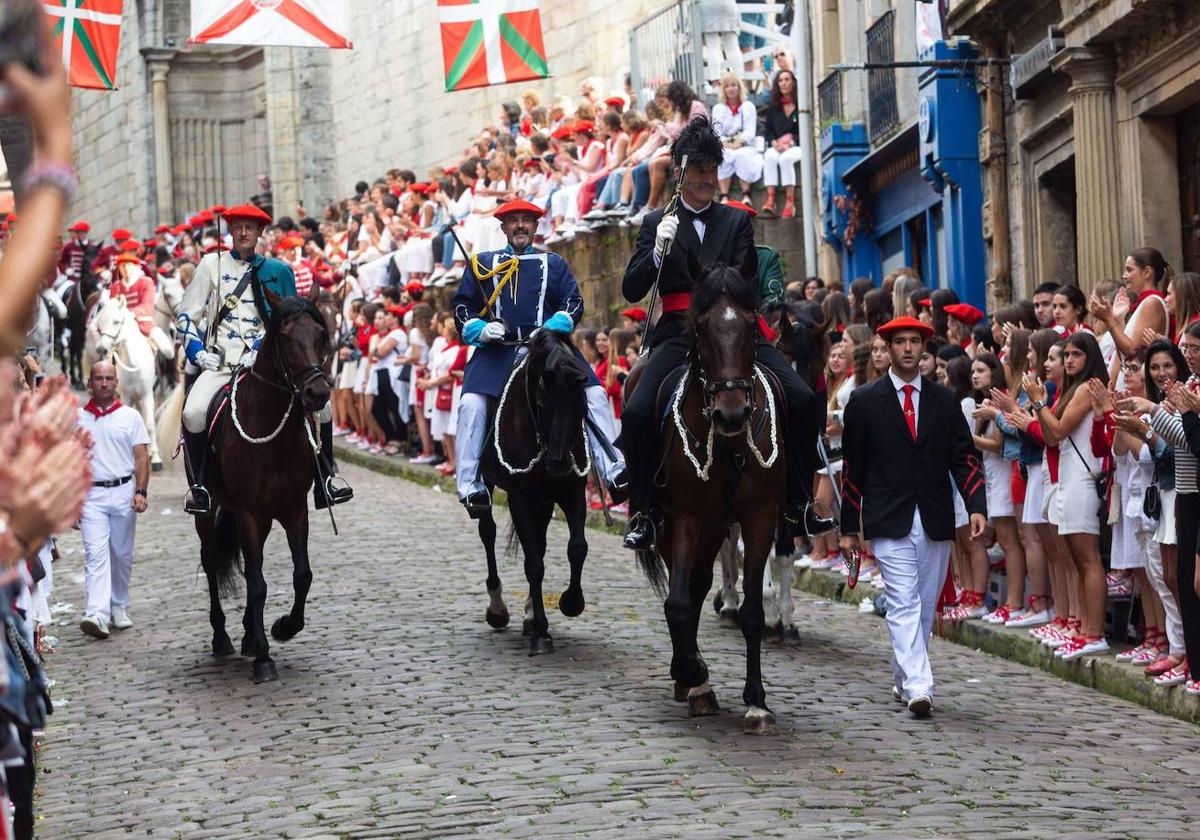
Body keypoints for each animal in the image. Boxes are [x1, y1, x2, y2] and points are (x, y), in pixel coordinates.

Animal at [92, 291, 164, 470]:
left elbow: (150, 424)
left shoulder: (147, 394)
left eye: (116, 321)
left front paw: (155, 458)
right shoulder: (126, 396)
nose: (102, 349)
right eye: (100, 325)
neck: (134, 364)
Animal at [189, 282, 336, 681]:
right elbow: (256, 583)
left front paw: (282, 628)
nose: (318, 394)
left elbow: (302, 575)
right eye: (284, 337)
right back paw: (223, 637)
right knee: (212, 561)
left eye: (321, 335)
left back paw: (248, 635)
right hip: (209, 512)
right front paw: (264, 659)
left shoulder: (294, 509)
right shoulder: (249, 513)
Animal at [475, 328, 592, 657]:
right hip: (488, 486)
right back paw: (498, 609)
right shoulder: (520, 499)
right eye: (542, 401)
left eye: (582, 403)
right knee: (488, 532)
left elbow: (577, 547)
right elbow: (534, 565)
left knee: (538, 543)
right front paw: (541, 631)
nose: (560, 464)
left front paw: (571, 602)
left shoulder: (571, 491)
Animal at [628, 259, 787, 729]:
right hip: (671, 523)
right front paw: (692, 673)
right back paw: (692, 678)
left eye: (751, 324)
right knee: (687, 589)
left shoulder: (759, 516)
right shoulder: (687, 516)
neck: (730, 445)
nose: (731, 414)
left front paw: (757, 701)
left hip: (718, 525)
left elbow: (752, 610)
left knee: (699, 585)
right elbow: (677, 603)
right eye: (699, 328)